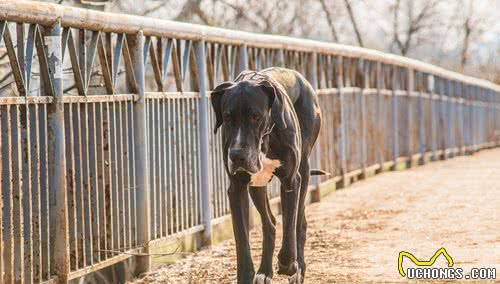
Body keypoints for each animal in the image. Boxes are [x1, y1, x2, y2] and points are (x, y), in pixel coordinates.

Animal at [210, 67, 324, 282]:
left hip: (304, 172)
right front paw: (247, 275)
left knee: (299, 223)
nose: (237, 156)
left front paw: (288, 265)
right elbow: (242, 241)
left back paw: (298, 269)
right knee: (269, 222)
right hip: (257, 183)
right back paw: (265, 272)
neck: (266, 139)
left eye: (256, 116)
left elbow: (289, 228)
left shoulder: (290, 181)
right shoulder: (237, 187)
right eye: (228, 117)